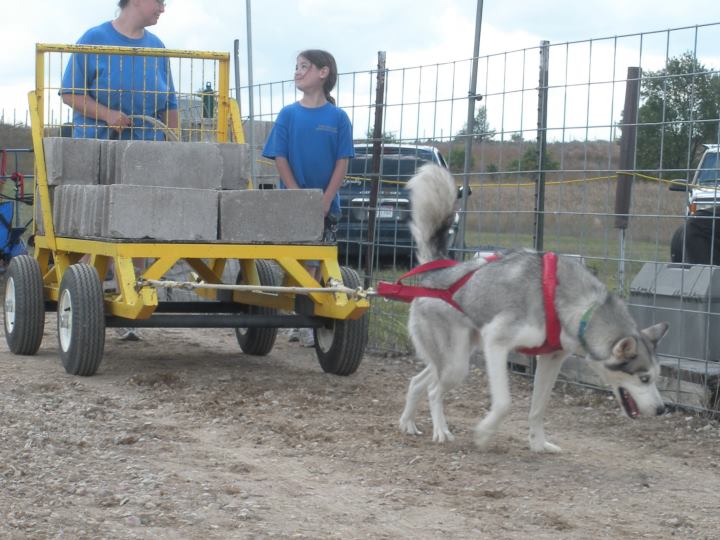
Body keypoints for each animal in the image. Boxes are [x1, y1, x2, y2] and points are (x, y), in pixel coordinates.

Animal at [400, 165, 668, 452]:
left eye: (657, 376)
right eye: (643, 378)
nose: (663, 409)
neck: (579, 308)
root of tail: (438, 271)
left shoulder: (551, 358)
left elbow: (538, 408)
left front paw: (539, 445)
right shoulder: (496, 343)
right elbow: (504, 403)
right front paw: (484, 434)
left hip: (456, 357)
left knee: (417, 382)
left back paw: (408, 423)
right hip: (456, 365)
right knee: (433, 390)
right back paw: (441, 430)